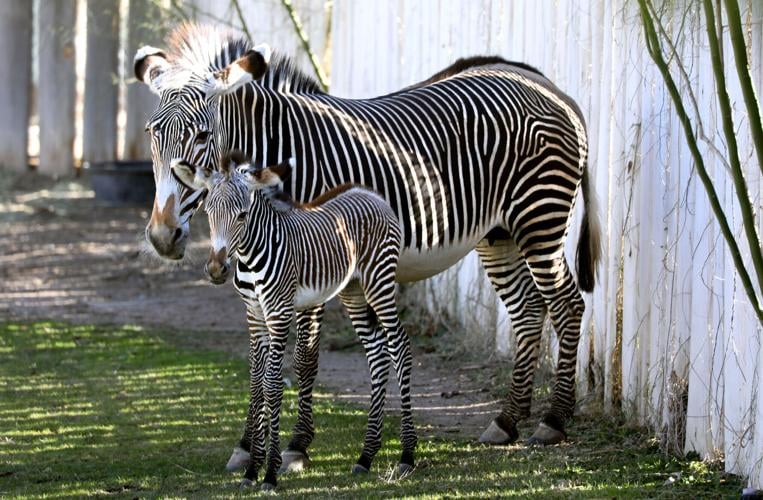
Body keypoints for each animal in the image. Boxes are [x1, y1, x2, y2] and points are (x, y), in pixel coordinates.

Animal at [172, 151, 415, 489]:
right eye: (208, 213)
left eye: (242, 216)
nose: (217, 270)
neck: (250, 256)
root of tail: (371, 193)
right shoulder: (255, 316)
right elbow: (256, 384)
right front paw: (252, 468)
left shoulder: (279, 313)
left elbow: (273, 385)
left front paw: (270, 472)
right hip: (353, 289)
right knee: (377, 354)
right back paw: (366, 456)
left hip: (378, 281)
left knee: (399, 347)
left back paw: (407, 455)